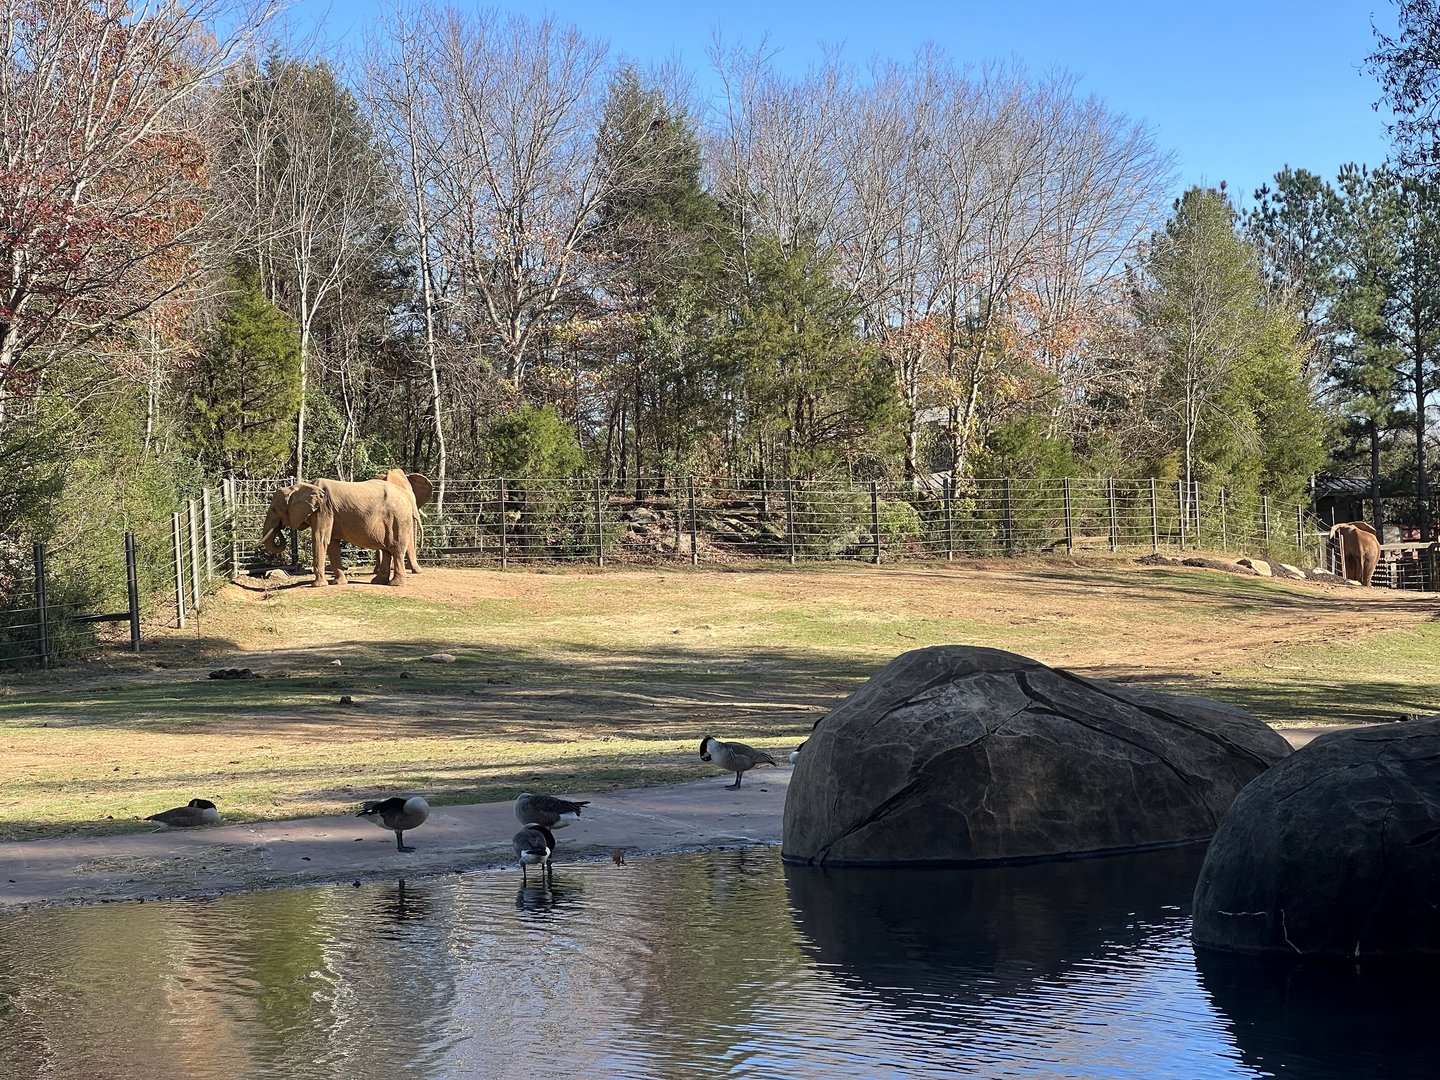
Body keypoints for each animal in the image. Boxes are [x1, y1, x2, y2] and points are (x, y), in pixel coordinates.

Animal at [259, 478, 415, 587]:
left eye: (274, 509)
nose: (279, 527)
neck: (302, 487)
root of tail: (407, 496)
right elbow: (332, 544)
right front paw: (338, 583)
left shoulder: (323, 509)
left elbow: (320, 539)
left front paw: (317, 585)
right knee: (386, 549)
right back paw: (378, 581)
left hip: (398, 519)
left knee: (396, 549)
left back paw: (395, 584)